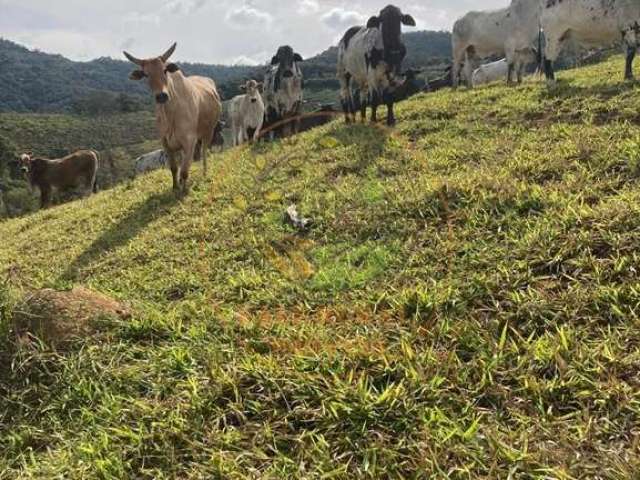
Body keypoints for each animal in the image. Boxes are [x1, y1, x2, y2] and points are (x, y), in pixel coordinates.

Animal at [123, 44, 222, 194]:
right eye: (146, 74)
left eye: (165, 70)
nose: (161, 96)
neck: (170, 114)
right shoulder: (166, 143)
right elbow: (174, 168)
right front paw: (176, 187)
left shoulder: (190, 141)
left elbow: (185, 170)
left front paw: (183, 190)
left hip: (209, 131)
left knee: (204, 152)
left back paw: (204, 173)